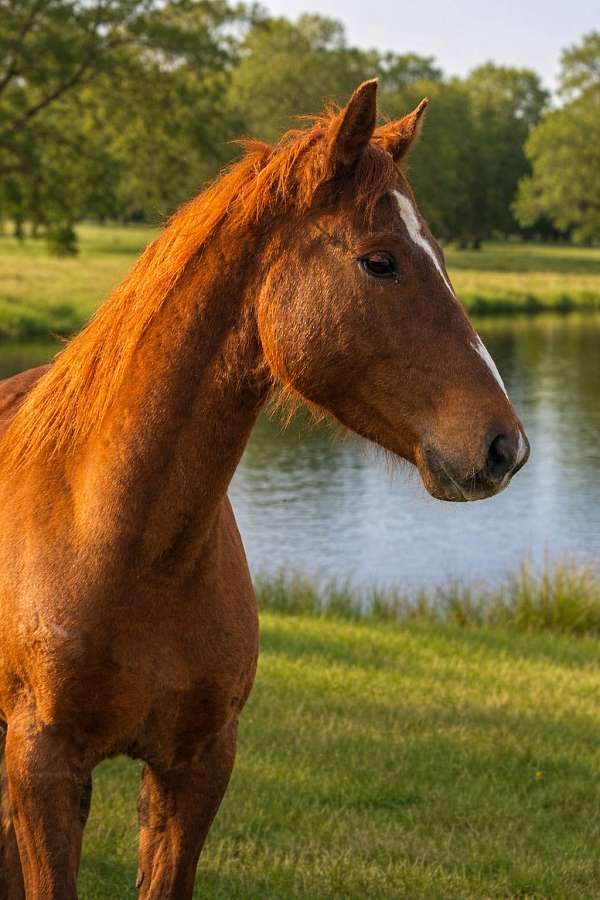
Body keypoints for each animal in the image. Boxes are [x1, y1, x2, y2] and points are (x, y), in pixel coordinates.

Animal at [0, 79, 529, 898]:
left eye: (441, 257)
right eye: (380, 262)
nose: (506, 446)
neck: (116, 541)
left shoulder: (198, 765)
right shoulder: (44, 768)